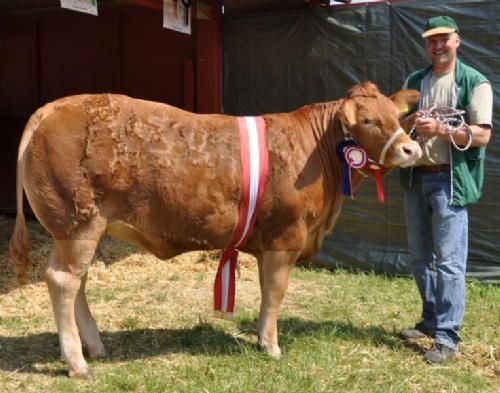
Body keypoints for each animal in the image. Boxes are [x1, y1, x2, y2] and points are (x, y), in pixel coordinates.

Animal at [8, 80, 422, 376]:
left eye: (396, 115)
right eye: (367, 121)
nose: (411, 150)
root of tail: (54, 106)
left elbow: (266, 293)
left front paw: (260, 337)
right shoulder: (285, 236)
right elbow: (275, 292)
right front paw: (271, 345)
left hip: (78, 231)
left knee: (77, 282)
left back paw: (94, 347)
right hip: (78, 223)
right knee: (63, 281)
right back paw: (78, 363)